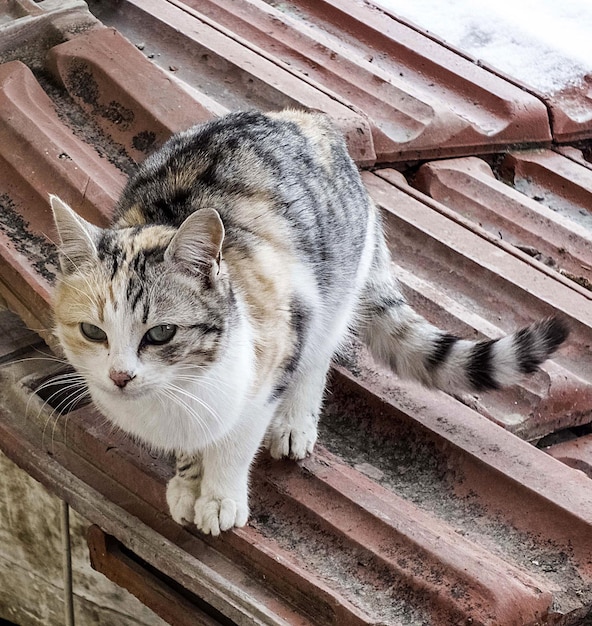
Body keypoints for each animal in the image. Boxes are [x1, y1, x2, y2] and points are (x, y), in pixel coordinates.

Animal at [51, 107, 568, 532]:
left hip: (332, 293)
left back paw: (294, 424)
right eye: (92, 332)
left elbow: (236, 441)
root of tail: (308, 119)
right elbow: (192, 446)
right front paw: (187, 482)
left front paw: (219, 498)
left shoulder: (275, 354)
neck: (179, 391)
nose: (120, 376)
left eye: (160, 333)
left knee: (319, 357)